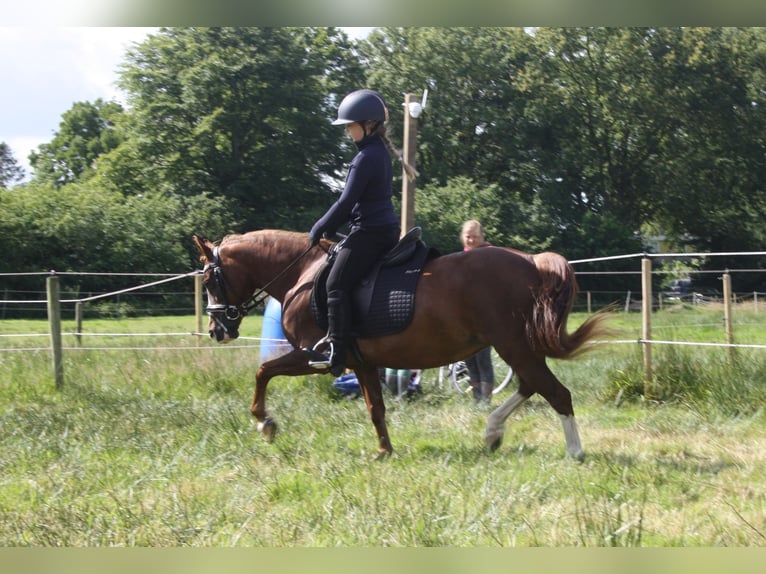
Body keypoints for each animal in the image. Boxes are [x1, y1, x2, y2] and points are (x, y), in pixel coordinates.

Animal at [194, 232, 612, 462]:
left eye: (210, 279)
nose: (217, 330)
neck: (303, 274)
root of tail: (531, 262)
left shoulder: (314, 355)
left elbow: (263, 371)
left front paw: (265, 423)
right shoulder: (361, 363)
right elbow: (375, 408)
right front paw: (384, 451)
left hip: (512, 344)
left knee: (554, 391)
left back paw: (574, 453)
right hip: (516, 346)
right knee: (531, 384)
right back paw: (492, 432)